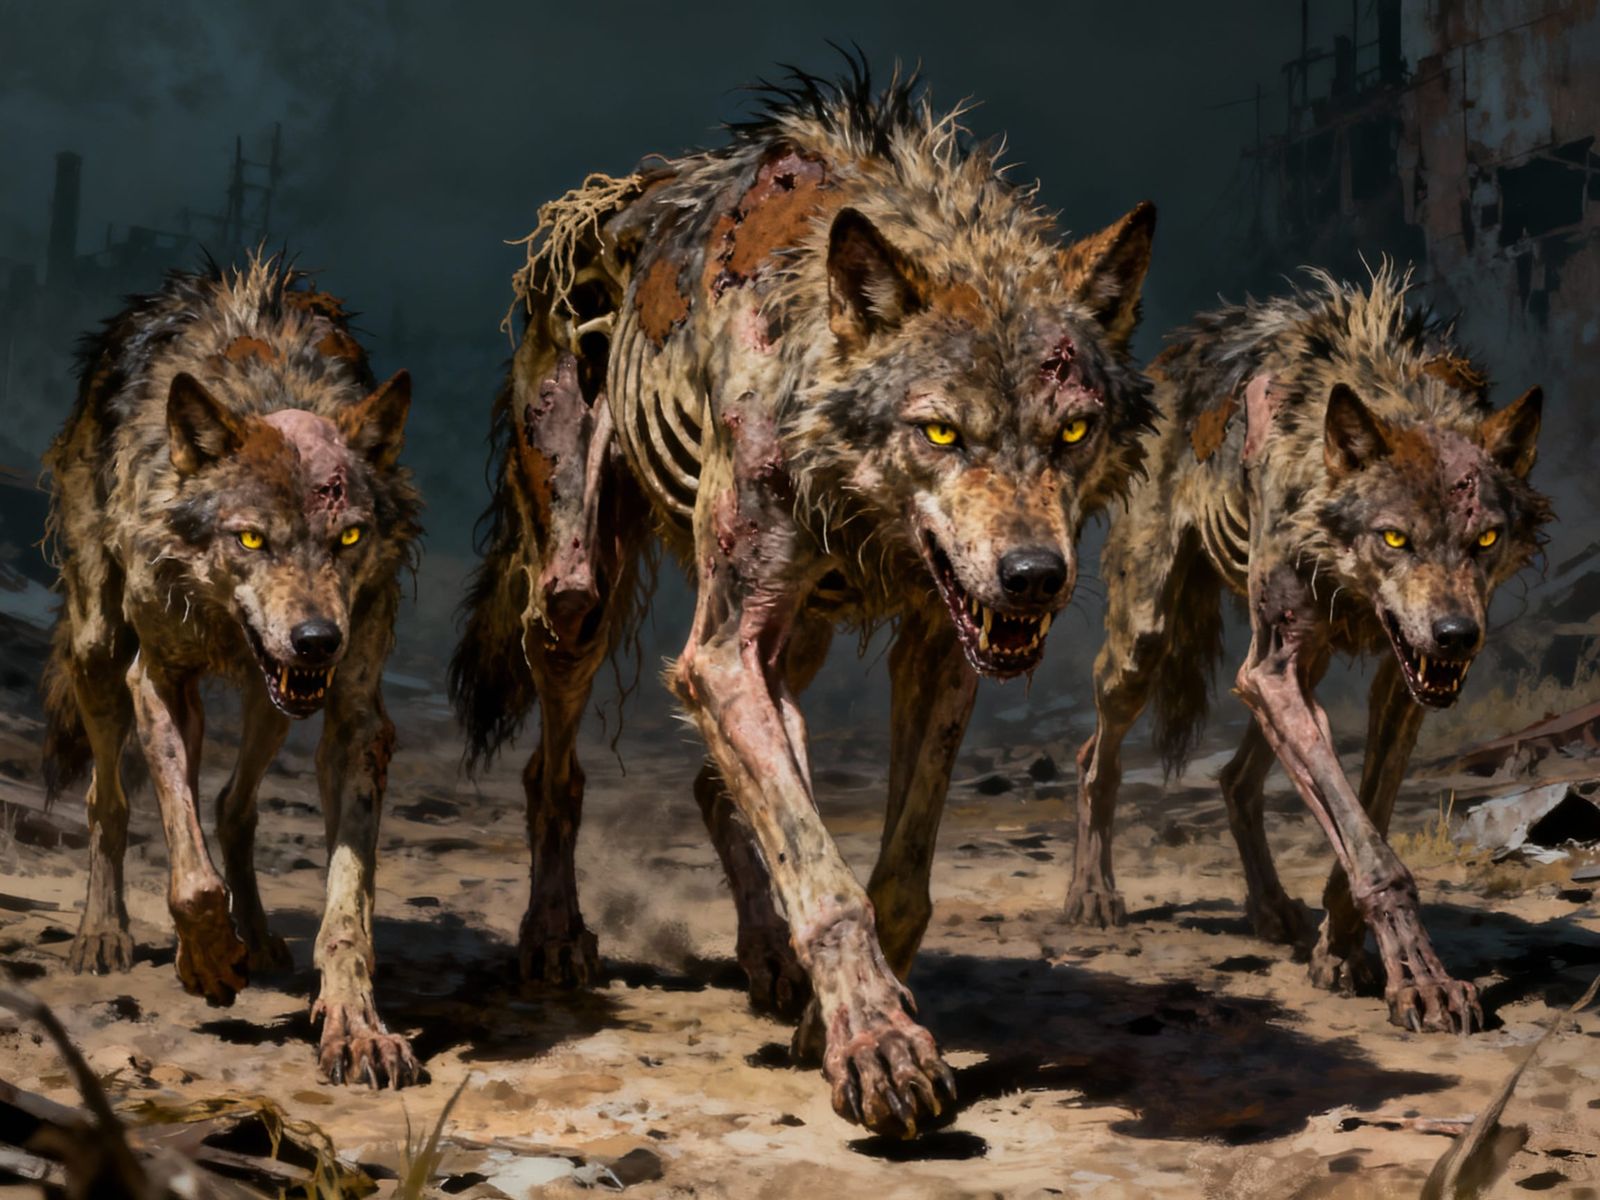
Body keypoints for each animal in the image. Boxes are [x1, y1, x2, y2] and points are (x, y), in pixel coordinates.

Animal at [42, 256, 424, 1086]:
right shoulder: (156, 679)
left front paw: (357, 1027)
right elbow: (191, 876)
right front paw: (209, 961)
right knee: (108, 800)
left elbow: (346, 906)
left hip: (270, 702)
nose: (317, 640)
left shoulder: (354, 718)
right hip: (100, 654)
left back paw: (260, 936)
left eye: (349, 537)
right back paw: (104, 932)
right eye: (251, 539)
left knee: (229, 805)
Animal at [450, 65, 1156, 1137]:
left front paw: (839, 1020)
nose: (1034, 576)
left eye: (1072, 432)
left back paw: (769, 965)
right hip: (582, 597)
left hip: (801, 639)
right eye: (940, 433)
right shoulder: (721, 653)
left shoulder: (941, 647)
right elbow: (824, 879)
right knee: (554, 772)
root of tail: (601, 205)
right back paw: (556, 934)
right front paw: (879, 1048)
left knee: (719, 787)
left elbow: (892, 877)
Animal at [1062, 266, 1548, 1033]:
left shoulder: (1397, 684)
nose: (1455, 637)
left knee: (1236, 779)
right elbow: (1372, 851)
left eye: (1486, 539)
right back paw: (1093, 894)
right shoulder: (1274, 669)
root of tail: (1172, 359)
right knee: (1093, 756)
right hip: (1150, 643)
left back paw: (1271, 912)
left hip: (1293, 668)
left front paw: (1343, 954)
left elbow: (1368, 820)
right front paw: (1423, 981)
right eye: (1394, 538)